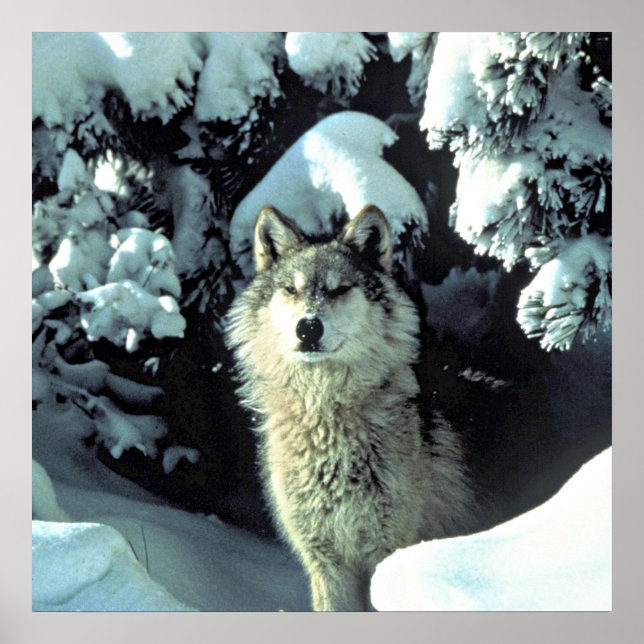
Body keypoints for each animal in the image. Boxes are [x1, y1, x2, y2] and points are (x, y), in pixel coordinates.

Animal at [226, 205, 477, 611]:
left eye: (339, 289)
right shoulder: (326, 562)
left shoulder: (386, 552)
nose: (308, 327)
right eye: (291, 289)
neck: (325, 417)